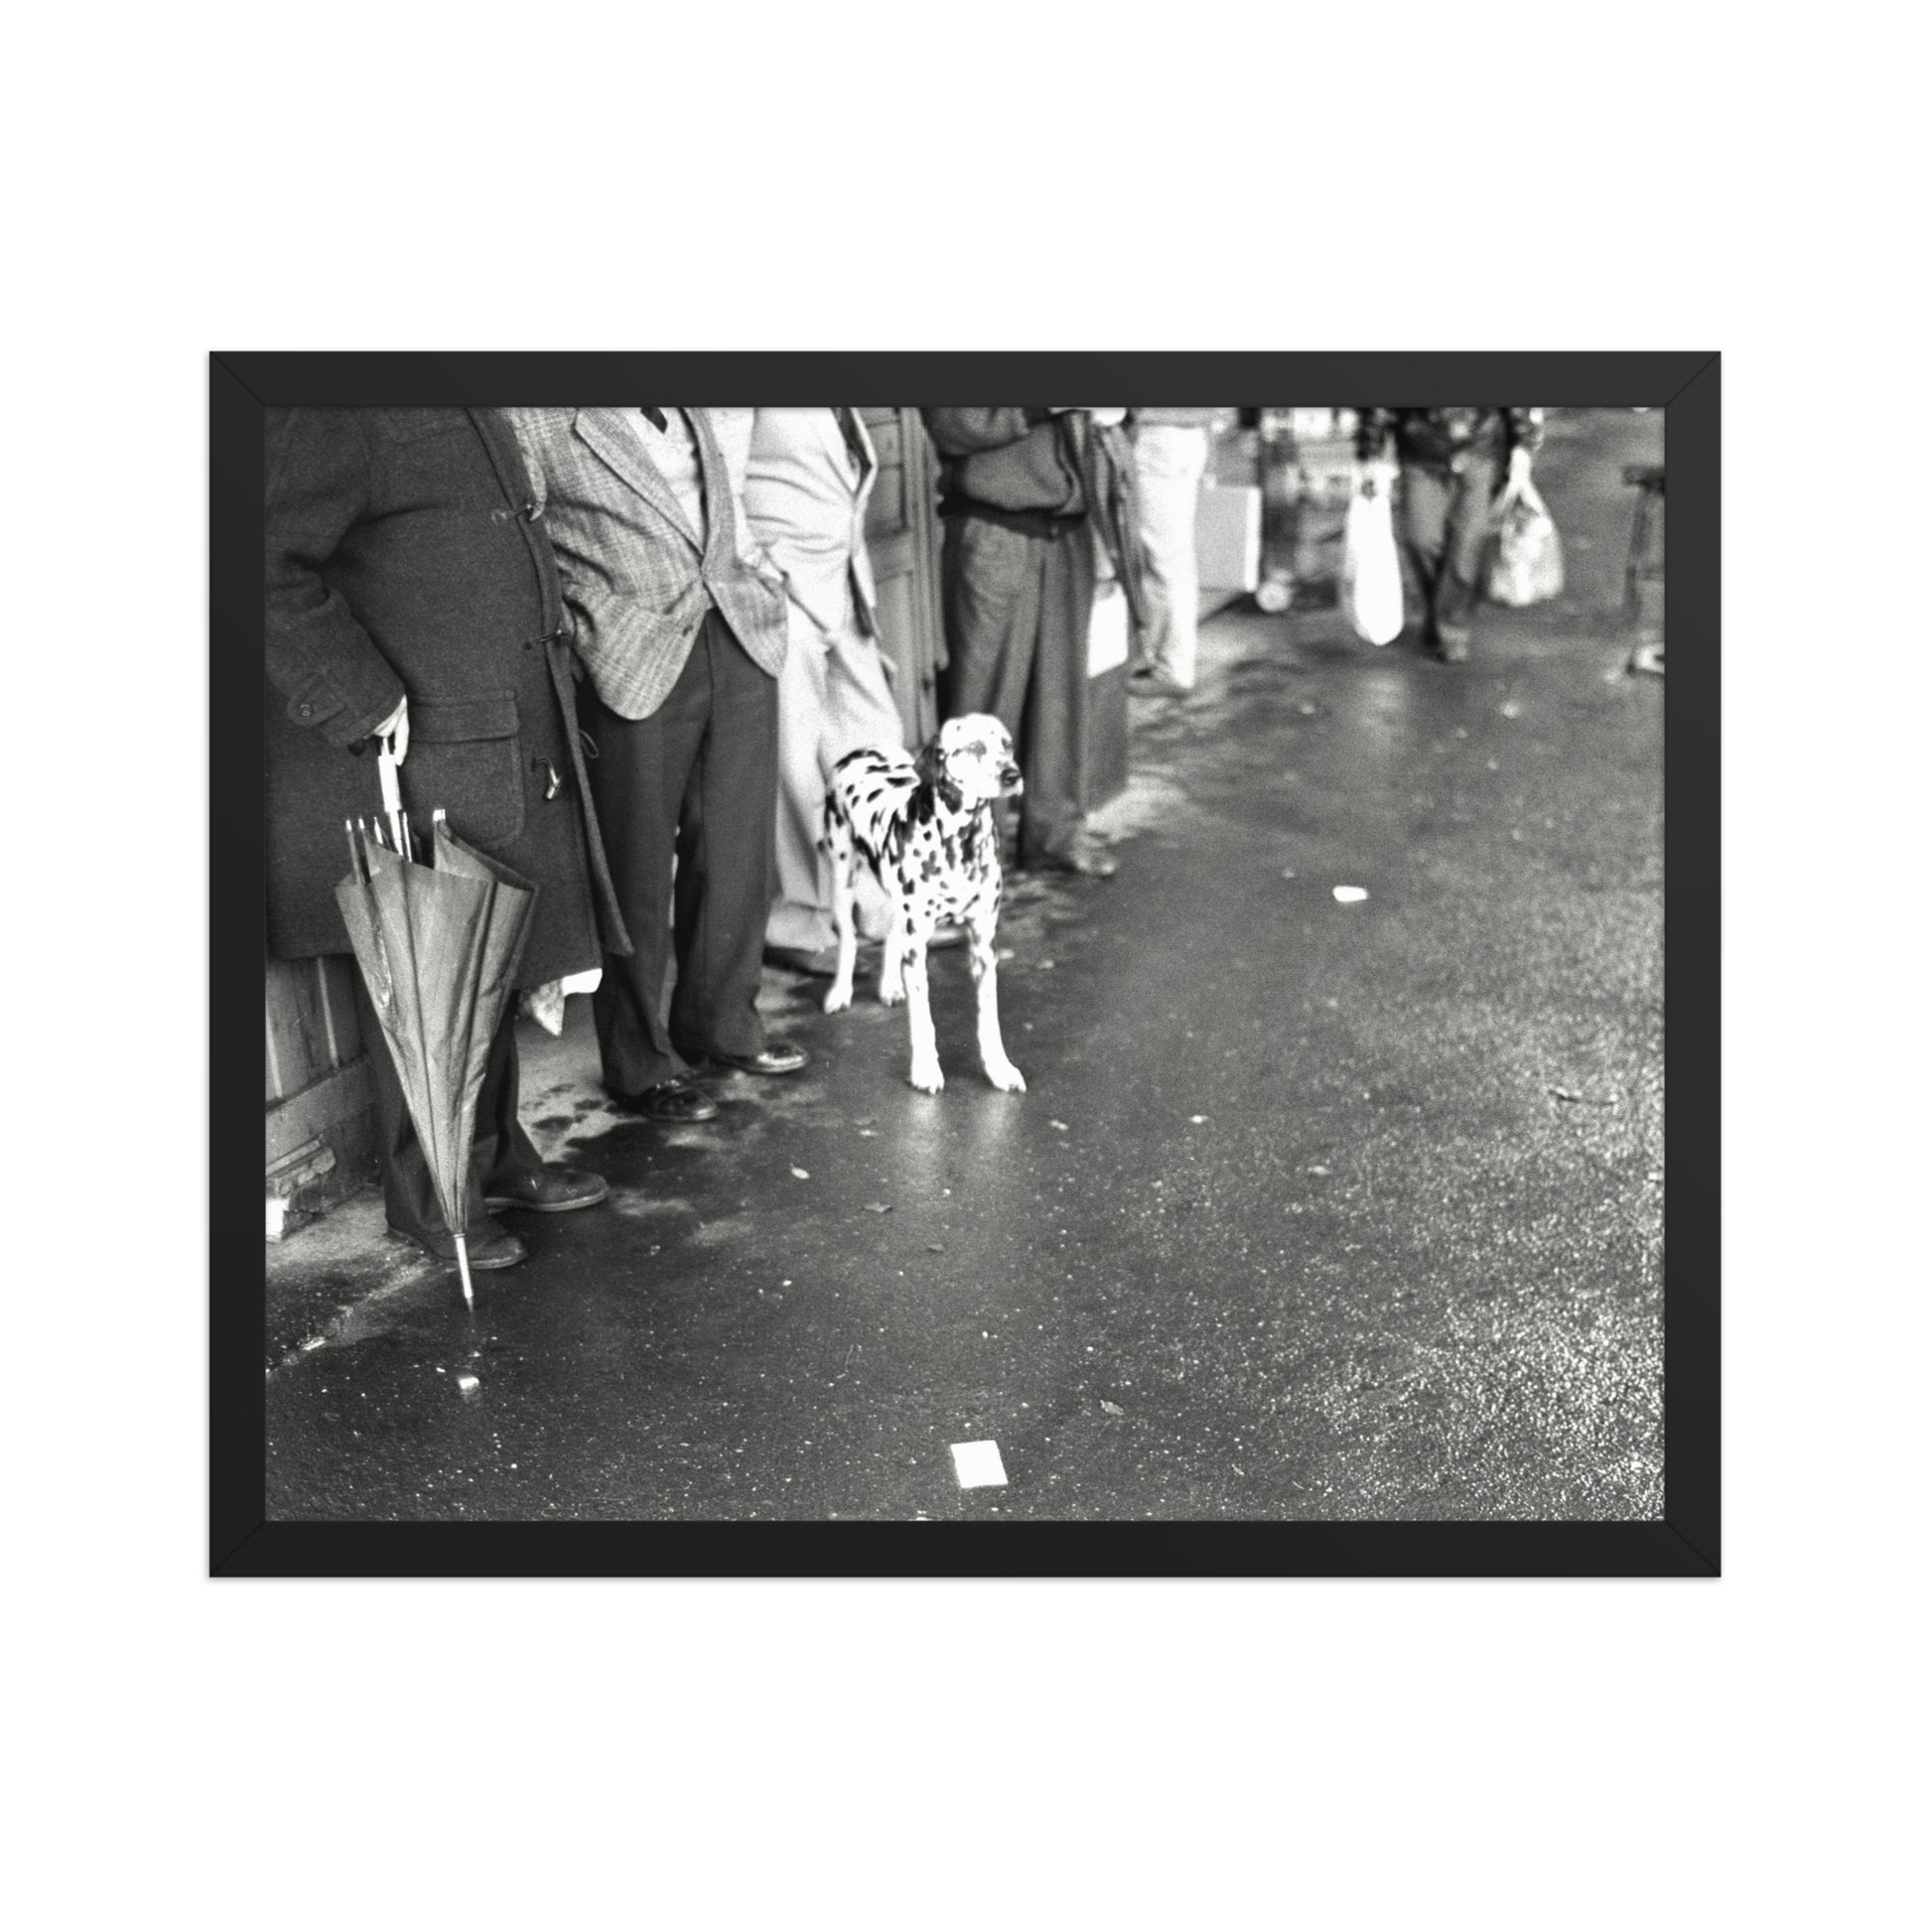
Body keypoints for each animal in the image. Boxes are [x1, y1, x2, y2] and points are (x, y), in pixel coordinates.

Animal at [821, 714, 1027, 1094]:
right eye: (975, 747)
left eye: (1007, 745)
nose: (1012, 775)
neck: (961, 844)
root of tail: (863, 750)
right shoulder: (918, 950)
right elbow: (923, 1020)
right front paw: (926, 1071)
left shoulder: (983, 945)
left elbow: (989, 1019)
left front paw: (999, 1069)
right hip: (842, 878)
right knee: (848, 938)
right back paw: (840, 991)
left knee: (890, 934)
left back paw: (889, 985)